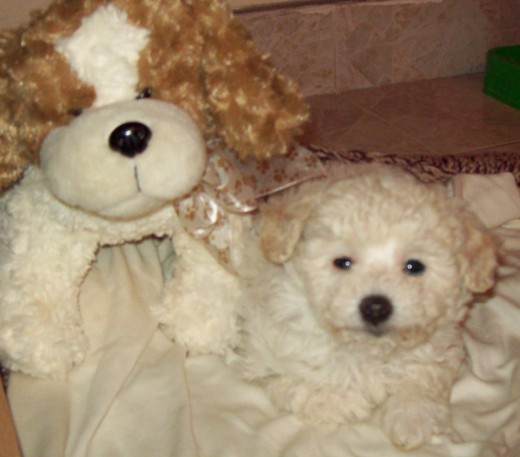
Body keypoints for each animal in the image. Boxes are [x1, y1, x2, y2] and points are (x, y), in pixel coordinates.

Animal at [238, 164, 498, 448]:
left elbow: (423, 375)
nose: (375, 307)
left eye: (414, 266)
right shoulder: (275, 352)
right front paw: (352, 398)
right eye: (342, 262)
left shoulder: (439, 345)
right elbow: (317, 390)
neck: (368, 350)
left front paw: (412, 416)